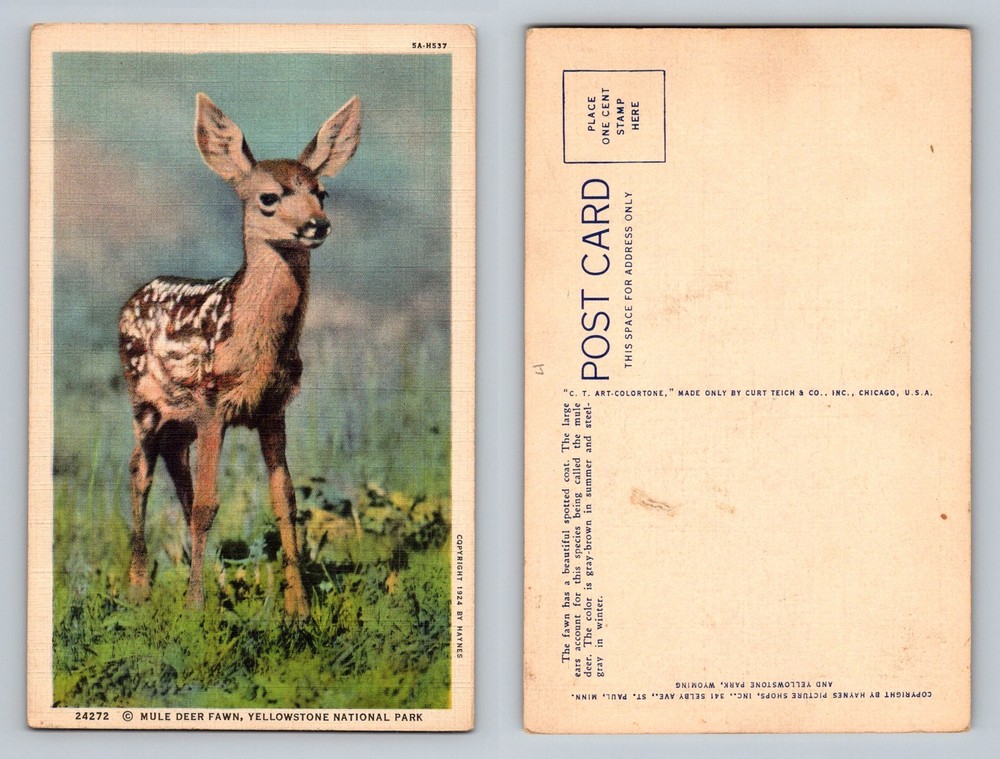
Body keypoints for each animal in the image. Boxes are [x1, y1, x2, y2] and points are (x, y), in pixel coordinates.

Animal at [118, 93, 361, 617]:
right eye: (268, 198)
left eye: (323, 193)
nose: (317, 225)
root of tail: (133, 296)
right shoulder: (213, 403)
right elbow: (209, 505)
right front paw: (194, 608)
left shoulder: (272, 409)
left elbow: (285, 503)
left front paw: (298, 608)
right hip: (144, 402)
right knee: (140, 472)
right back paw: (139, 588)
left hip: (180, 420)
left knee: (176, 471)